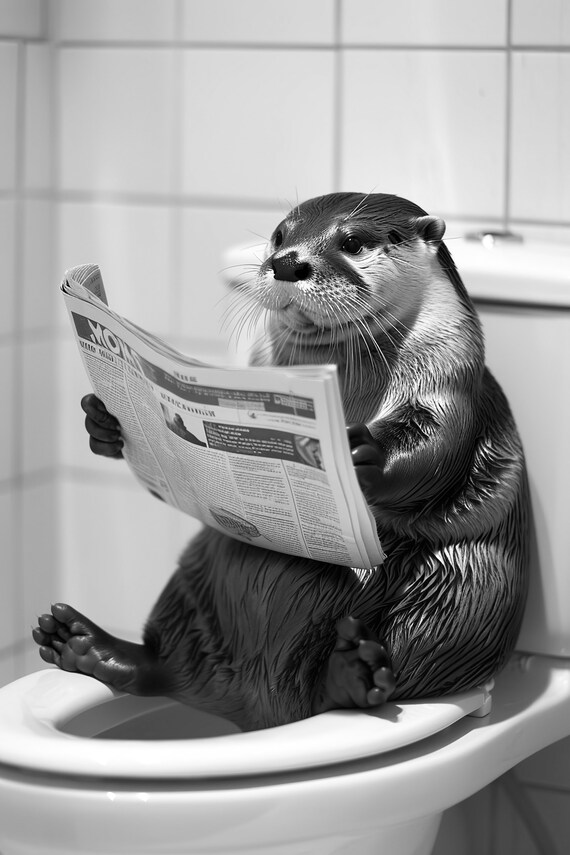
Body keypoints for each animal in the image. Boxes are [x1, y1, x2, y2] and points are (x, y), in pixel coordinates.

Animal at [33, 192, 529, 731]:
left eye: (353, 242)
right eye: (279, 235)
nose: (287, 262)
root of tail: (258, 703)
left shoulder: (450, 376)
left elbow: (436, 446)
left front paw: (355, 454)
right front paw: (102, 421)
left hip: (466, 597)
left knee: (405, 661)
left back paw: (351, 675)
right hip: (195, 572)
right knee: (170, 661)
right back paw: (87, 646)